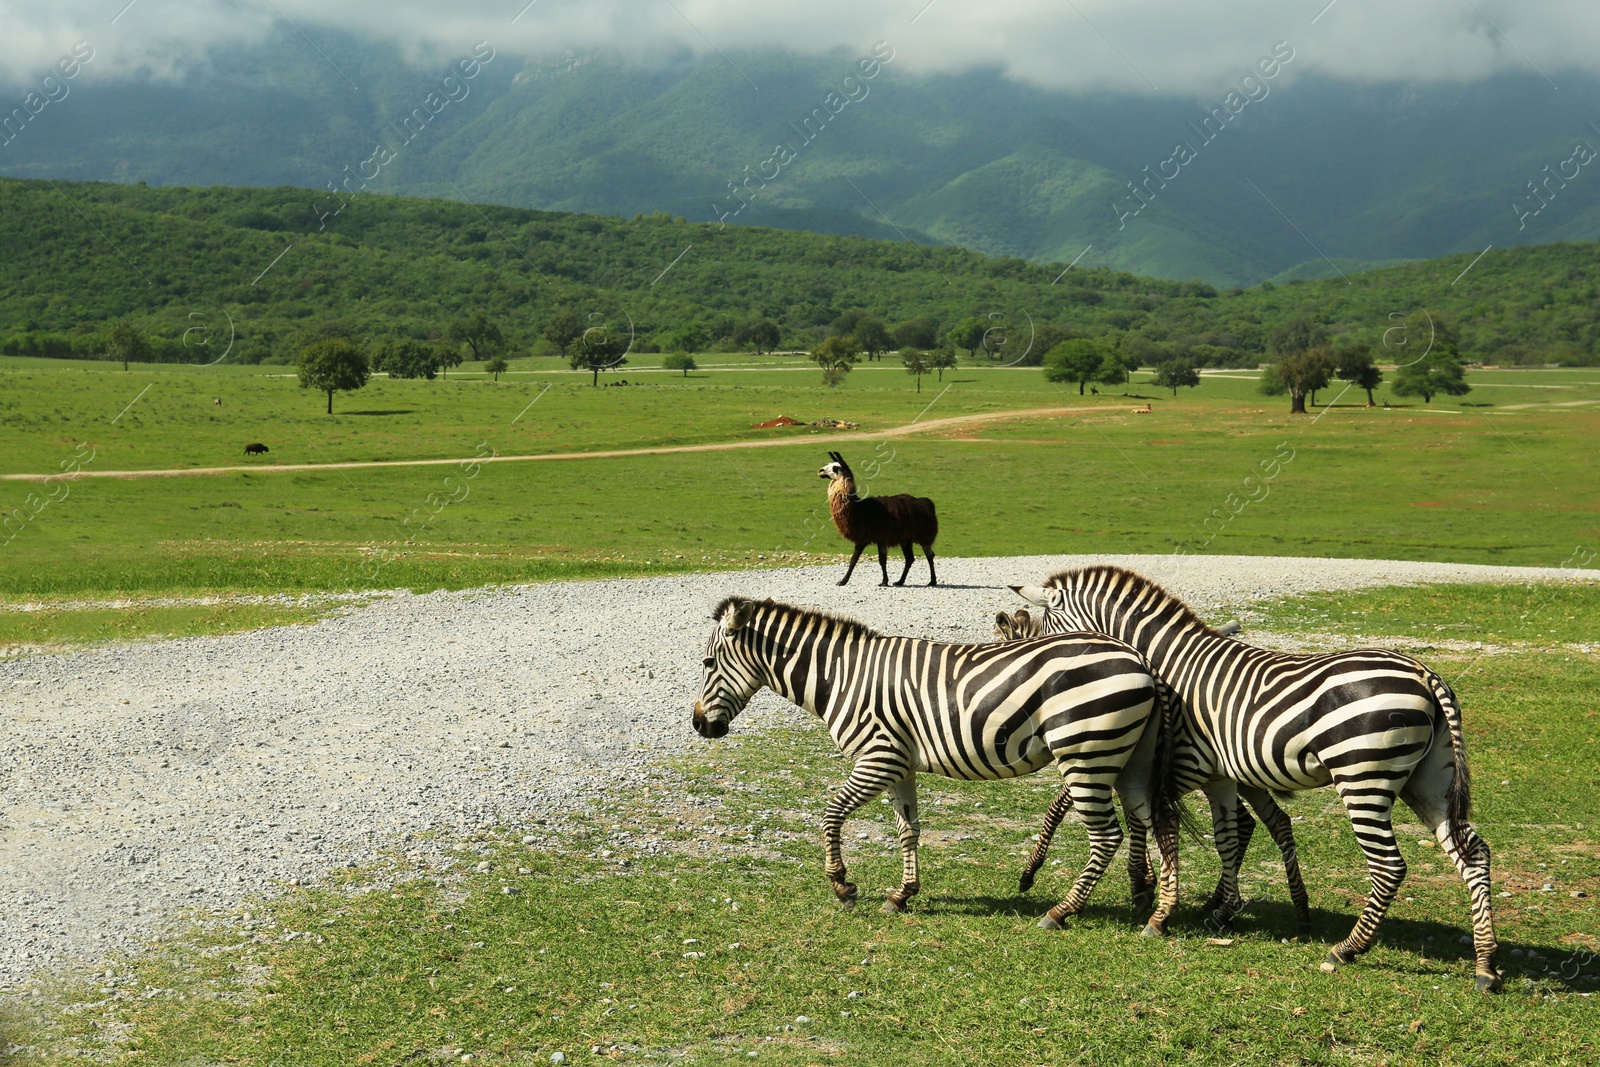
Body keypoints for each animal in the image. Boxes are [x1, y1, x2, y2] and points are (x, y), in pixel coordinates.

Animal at [694, 598, 1184, 927]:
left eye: (707, 662)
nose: (699, 725)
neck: (841, 678)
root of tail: (1139, 658)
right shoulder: (899, 764)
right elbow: (908, 829)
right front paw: (902, 894)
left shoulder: (878, 756)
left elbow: (831, 815)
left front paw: (842, 885)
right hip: (1128, 759)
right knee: (1158, 823)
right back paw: (1157, 913)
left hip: (1085, 753)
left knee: (1107, 836)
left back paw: (1061, 912)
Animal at [1017, 566, 1504, 991]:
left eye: (1050, 631)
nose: (1044, 685)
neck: (1169, 668)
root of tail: (1424, 674)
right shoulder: (1213, 771)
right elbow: (1226, 835)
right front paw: (1202, 905)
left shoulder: (1181, 763)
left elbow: (1139, 817)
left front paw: (1144, 893)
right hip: (1428, 782)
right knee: (1473, 852)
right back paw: (1485, 964)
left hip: (1363, 777)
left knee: (1388, 865)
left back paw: (1346, 949)